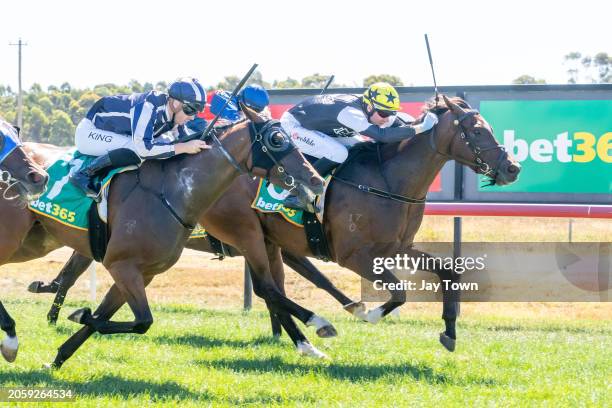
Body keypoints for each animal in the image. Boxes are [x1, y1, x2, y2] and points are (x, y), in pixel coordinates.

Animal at [1, 109, 326, 366]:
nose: (316, 179)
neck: (172, 193)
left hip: (33, 242)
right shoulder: (122, 265)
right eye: (277, 140)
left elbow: (108, 318)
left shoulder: (141, 273)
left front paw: (58, 358)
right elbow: (141, 321)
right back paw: (14, 334)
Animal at [28, 94, 520, 356]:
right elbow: (396, 293)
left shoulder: (393, 246)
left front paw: (449, 332)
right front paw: (368, 312)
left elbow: (449, 272)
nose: (512, 167)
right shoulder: (356, 253)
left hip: (268, 240)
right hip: (247, 232)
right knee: (269, 287)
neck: (385, 179)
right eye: (477, 130)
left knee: (279, 285)